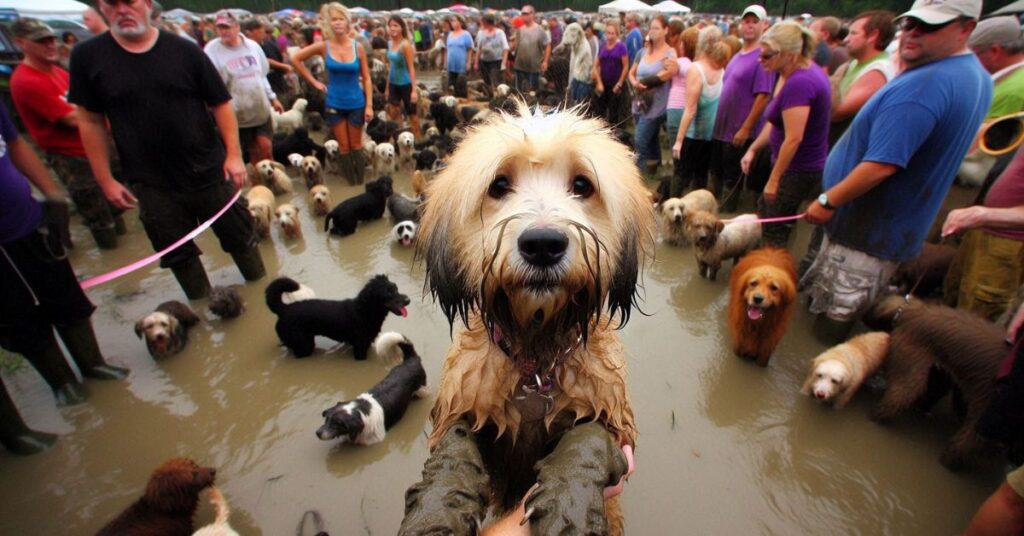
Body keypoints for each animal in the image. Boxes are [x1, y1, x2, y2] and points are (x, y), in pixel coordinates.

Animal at [264, 274, 407, 358]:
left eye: (396, 288)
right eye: (388, 293)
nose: (408, 300)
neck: (364, 311)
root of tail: (283, 309)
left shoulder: (366, 343)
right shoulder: (359, 347)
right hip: (304, 344)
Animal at [409, 102, 655, 532]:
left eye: (582, 184)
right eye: (498, 185)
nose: (543, 244)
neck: (536, 356)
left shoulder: (606, 407)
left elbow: (589, 437)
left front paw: (569, 504)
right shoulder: (466, 397)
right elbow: (454, 449)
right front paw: (434, 510)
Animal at [864, 293, 1007, 469]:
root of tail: (914, 310)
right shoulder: (978, 427)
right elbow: (956, 451)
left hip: (938, 377)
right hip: (911, 377)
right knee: (889, 405)